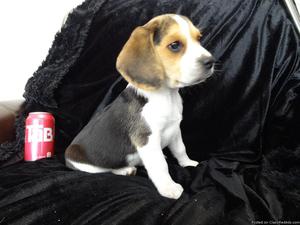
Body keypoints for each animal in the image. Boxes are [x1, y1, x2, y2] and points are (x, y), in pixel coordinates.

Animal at [65, 14, 216, 199]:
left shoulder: (175, 129)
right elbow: (160, 166)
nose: (211, 61)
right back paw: (124, 170)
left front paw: (188, 163)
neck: (166, 95)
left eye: (199, 38)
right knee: (104, 169)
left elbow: (180, 149)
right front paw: (168, 187)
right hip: (81, 161)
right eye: (175, 45)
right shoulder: (147, 139)